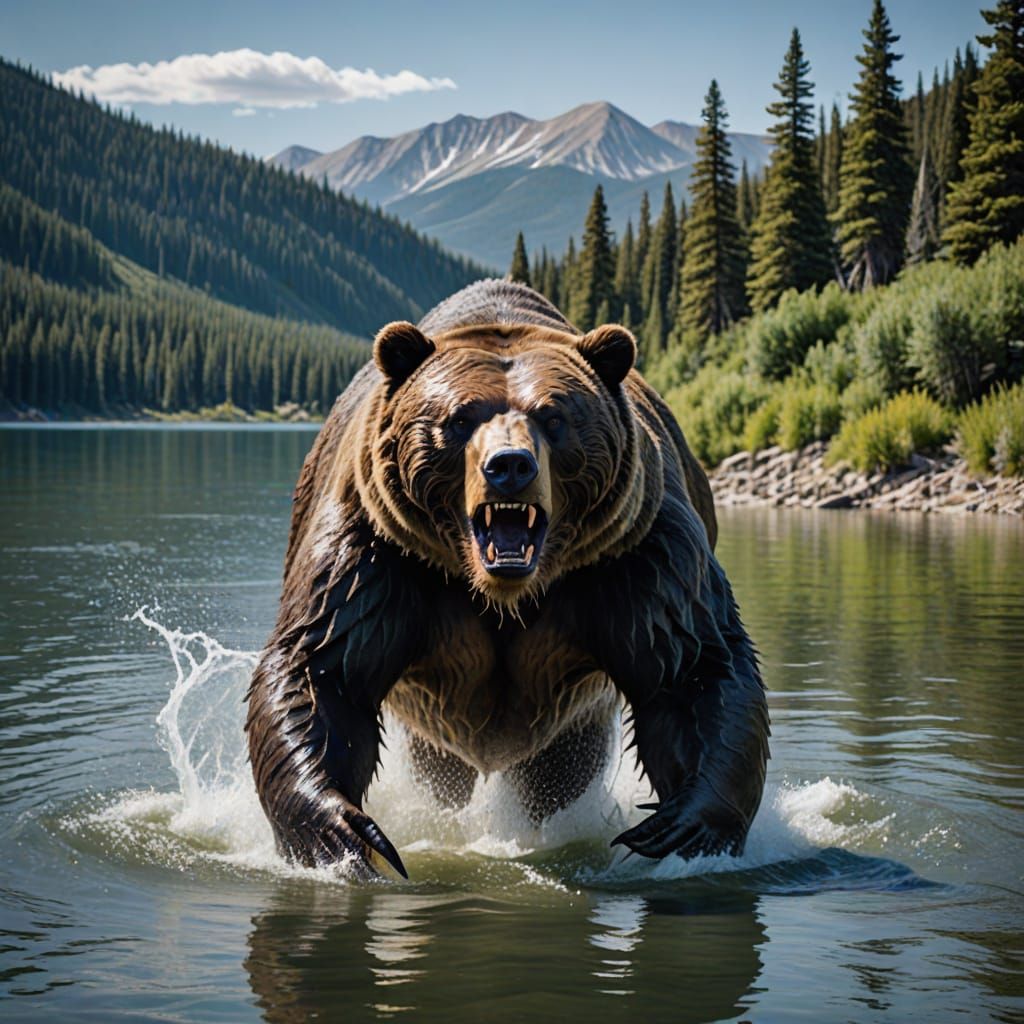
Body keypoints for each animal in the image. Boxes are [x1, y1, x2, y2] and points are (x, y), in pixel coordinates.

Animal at [245, 279, 769, 879]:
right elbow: (322, 668)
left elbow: (693, 665)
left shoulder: (640, 556)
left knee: (556, 774)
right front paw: (340, 830)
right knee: (442, 770)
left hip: (567, 718)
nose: (510, 465)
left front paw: (684, 824)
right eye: (459, 417)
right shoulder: (378, 553)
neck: (503, 592)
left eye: (555, 416)